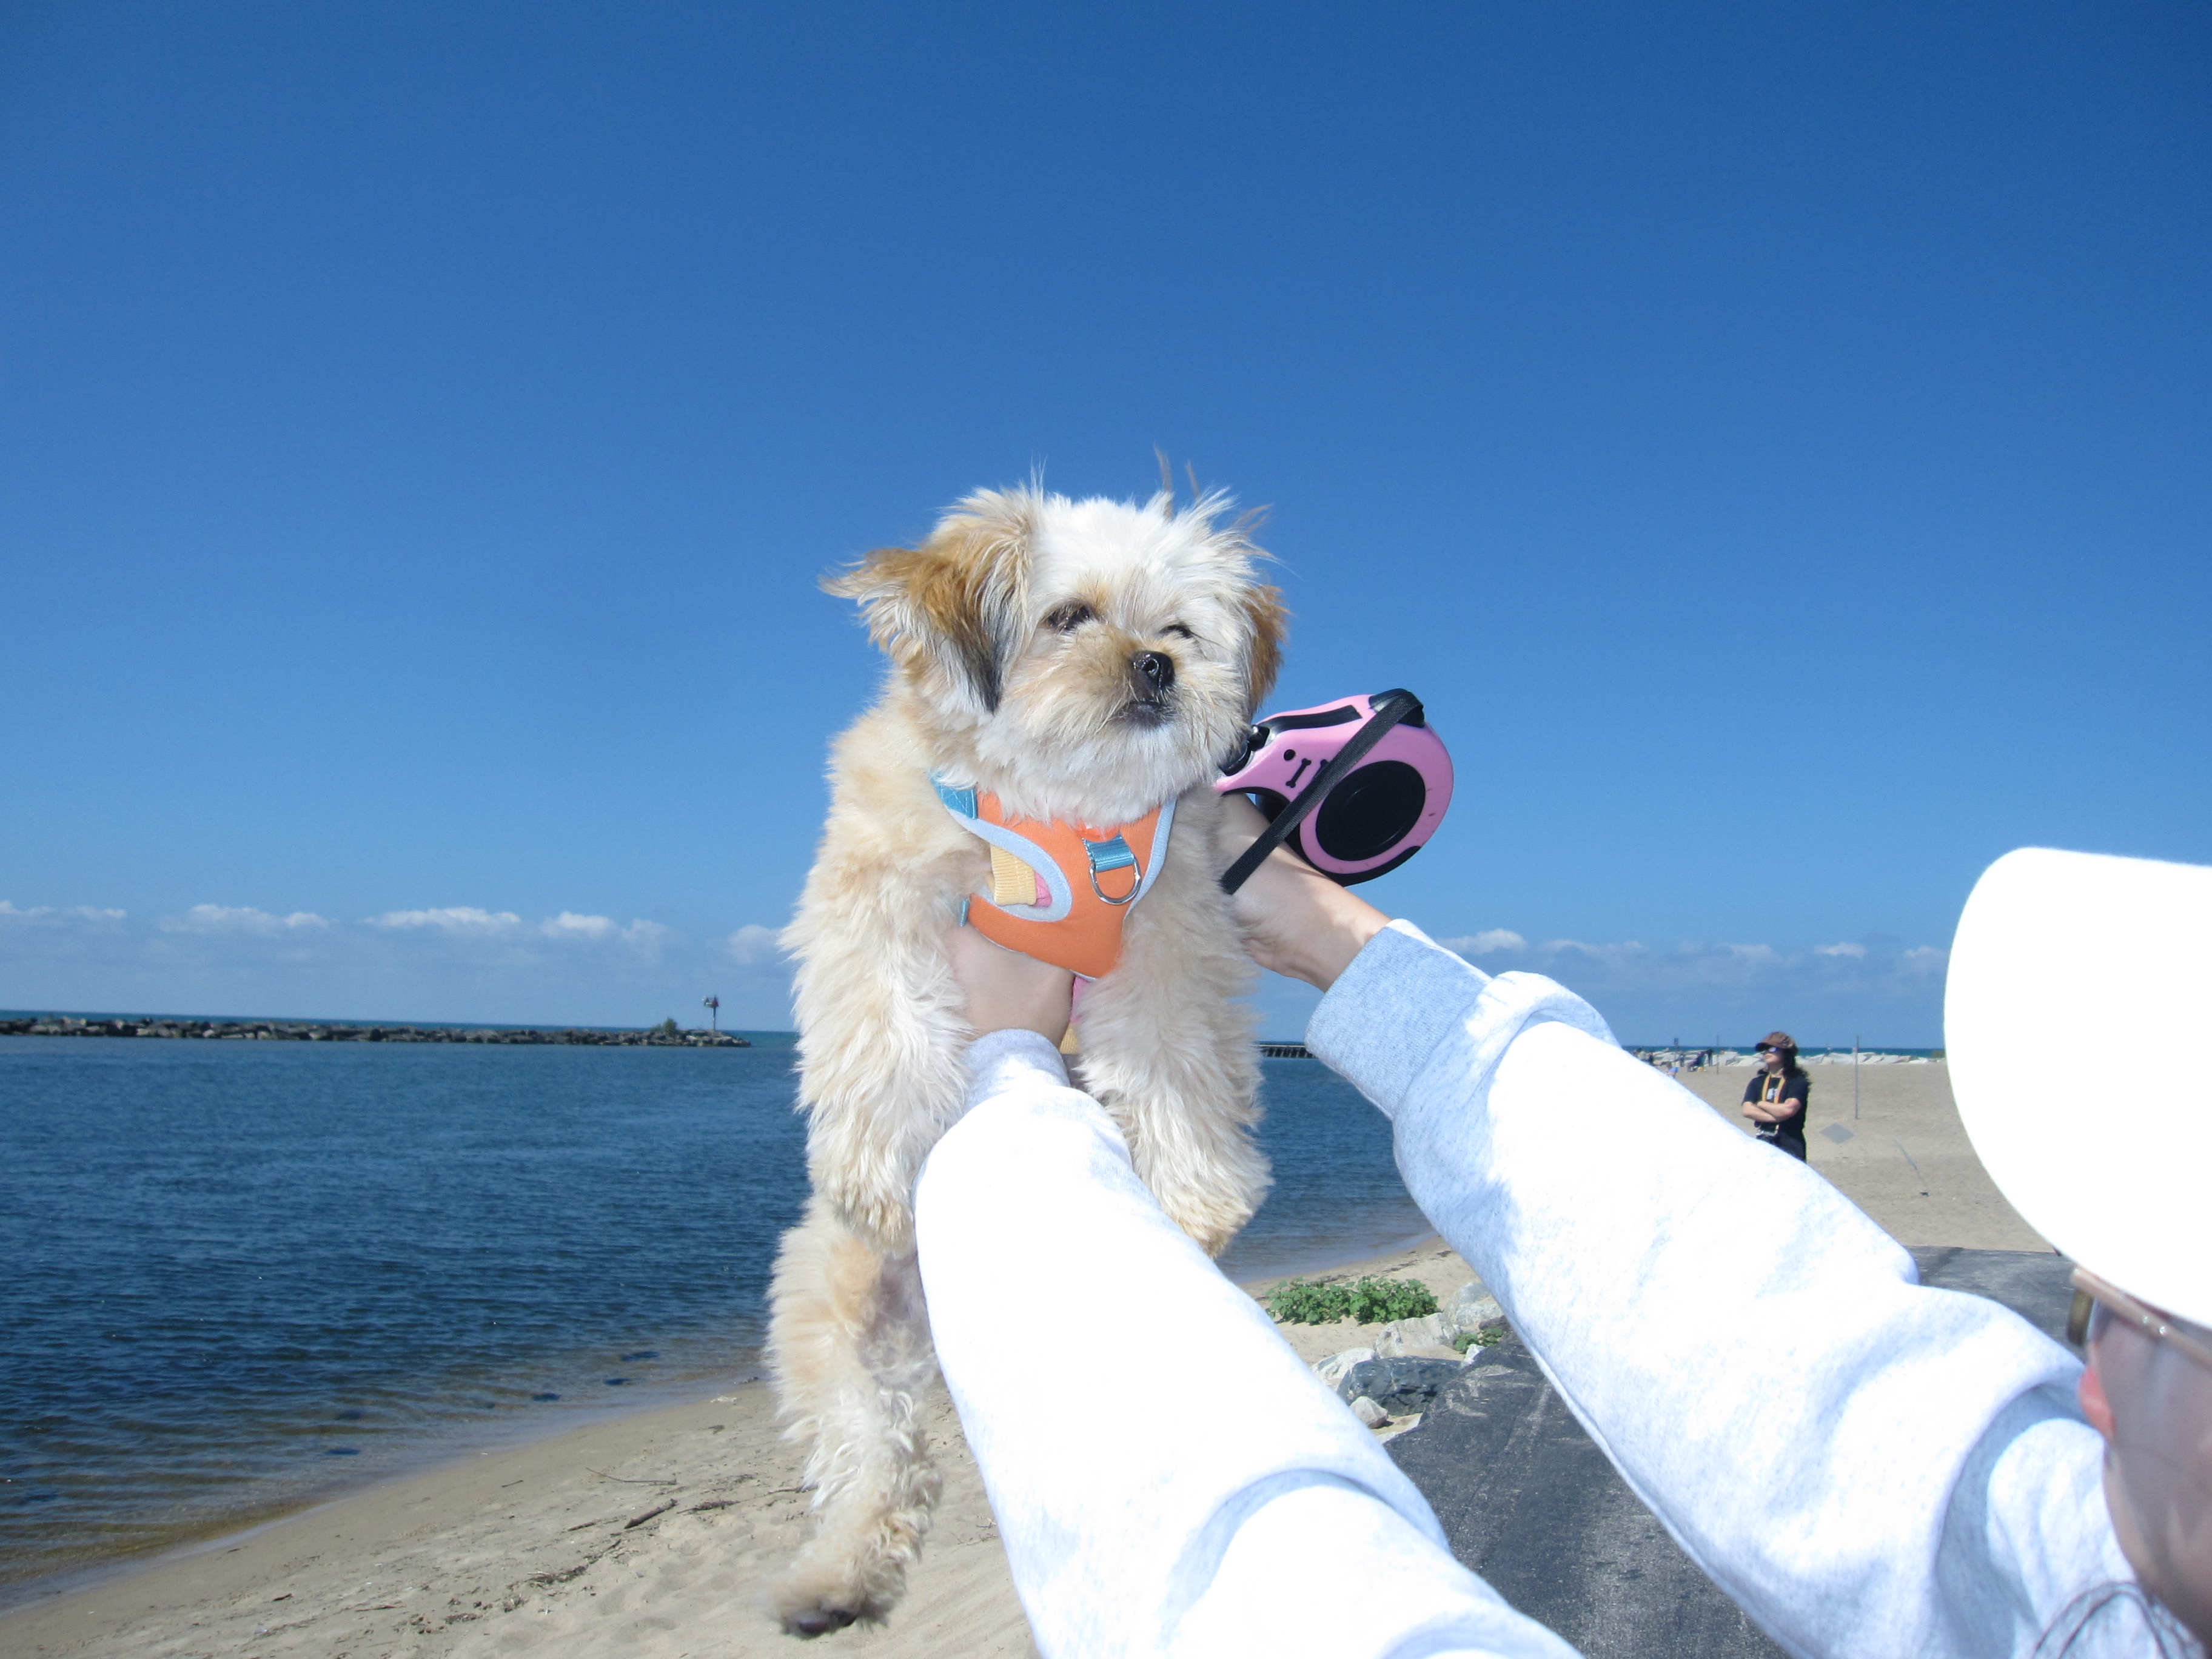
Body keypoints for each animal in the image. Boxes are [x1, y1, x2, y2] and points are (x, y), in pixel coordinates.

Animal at [769, 477, 1292, 1637]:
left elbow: (1173, 1061)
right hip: (834, 1316)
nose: (1154, 666)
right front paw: (879, 1164)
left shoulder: (1170, 929)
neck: (1062, 811)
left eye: (1179, 630)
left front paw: (1194, 1192)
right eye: (1069, 617)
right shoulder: (876, 887)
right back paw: (833, 1578)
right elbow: (880, 1021)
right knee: (871, 1451)